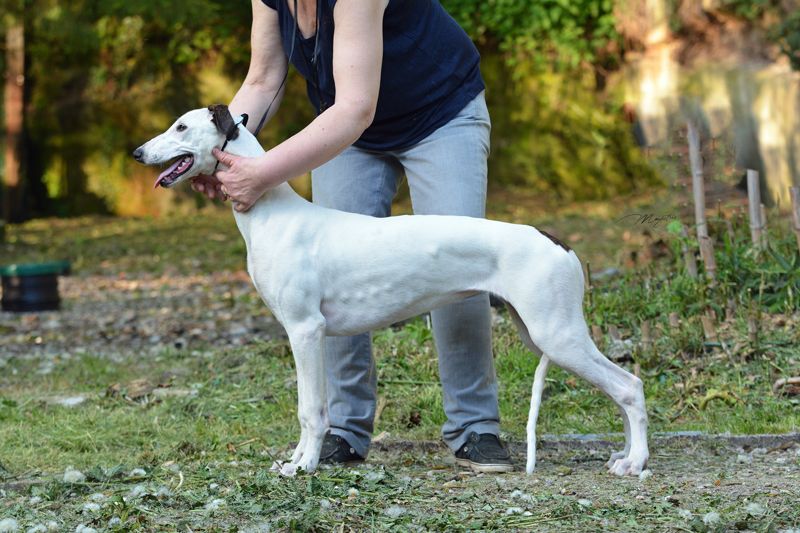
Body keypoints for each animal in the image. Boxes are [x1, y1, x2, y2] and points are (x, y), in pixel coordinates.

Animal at [136, 104, 648, 474]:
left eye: (181, 126)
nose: (138, 154)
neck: (271, 211)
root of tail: (557, 242)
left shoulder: (304, 330)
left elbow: (309, 410)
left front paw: (304, 467)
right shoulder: (312, 335)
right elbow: (312, 409)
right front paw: (298, 460)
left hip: (557, 334)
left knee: (629, 386)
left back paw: (637, 462)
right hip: (538, 329)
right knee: (623, 389)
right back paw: (624, 456)